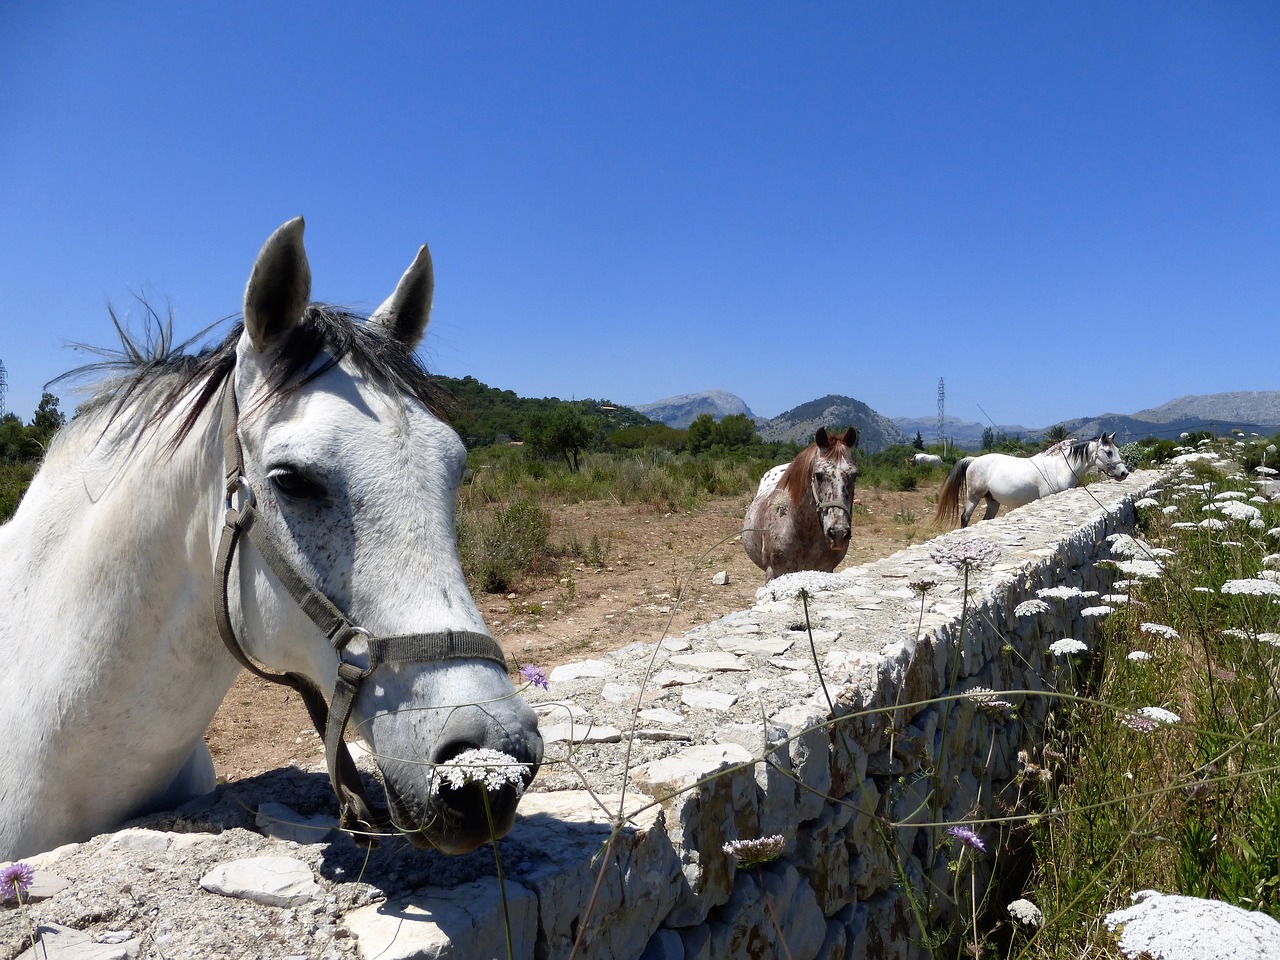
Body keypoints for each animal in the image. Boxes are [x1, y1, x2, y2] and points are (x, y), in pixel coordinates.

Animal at [931, 435, 1131, 529]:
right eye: (1108, 452)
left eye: (1117, 450)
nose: (1124, 472)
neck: (1059, 468)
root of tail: (973, 460)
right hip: (973, 497)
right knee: (965, 517)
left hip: (992, 501)